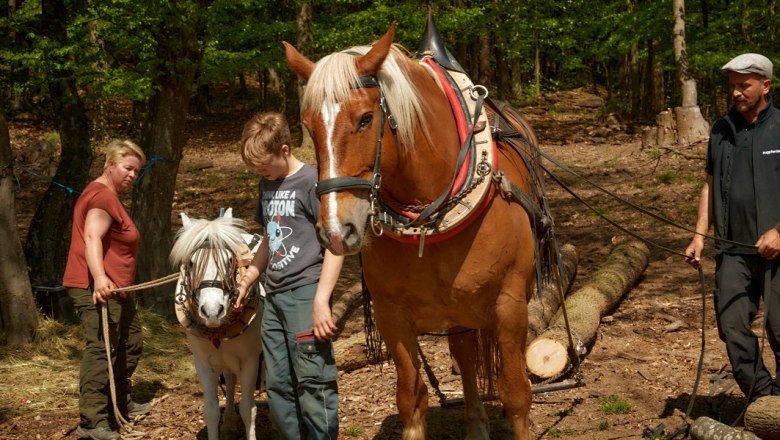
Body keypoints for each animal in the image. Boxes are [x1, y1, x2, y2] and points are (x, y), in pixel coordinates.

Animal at [168, 209, 264, 440]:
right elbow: (210, 411)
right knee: (229, 379)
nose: (212, 311)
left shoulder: (250, 360)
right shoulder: (202, 362)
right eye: (191, 263)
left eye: (229, 260)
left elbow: (248, 408)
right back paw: (228, 420)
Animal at [284, 24, 548, 440]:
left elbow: (517, 393)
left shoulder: (509, 306)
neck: (431, 220)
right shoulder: (392, 315)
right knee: (465, 355)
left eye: (365, 119)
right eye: (308, 127)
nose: (335, 231)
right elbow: (411, 397)